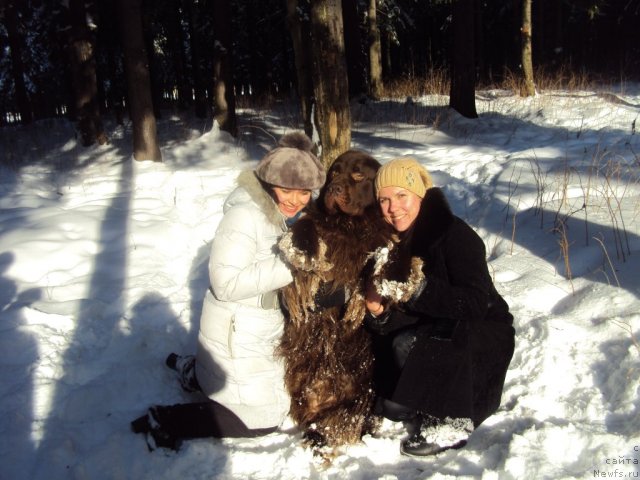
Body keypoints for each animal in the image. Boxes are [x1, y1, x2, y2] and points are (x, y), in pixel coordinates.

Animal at [276, 149, 396, 454]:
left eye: (358, 174)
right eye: (333, 173)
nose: (333, 188)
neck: (347, 226)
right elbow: (307, 226)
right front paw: (304, 248)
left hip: (363, 391)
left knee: (344, 422)